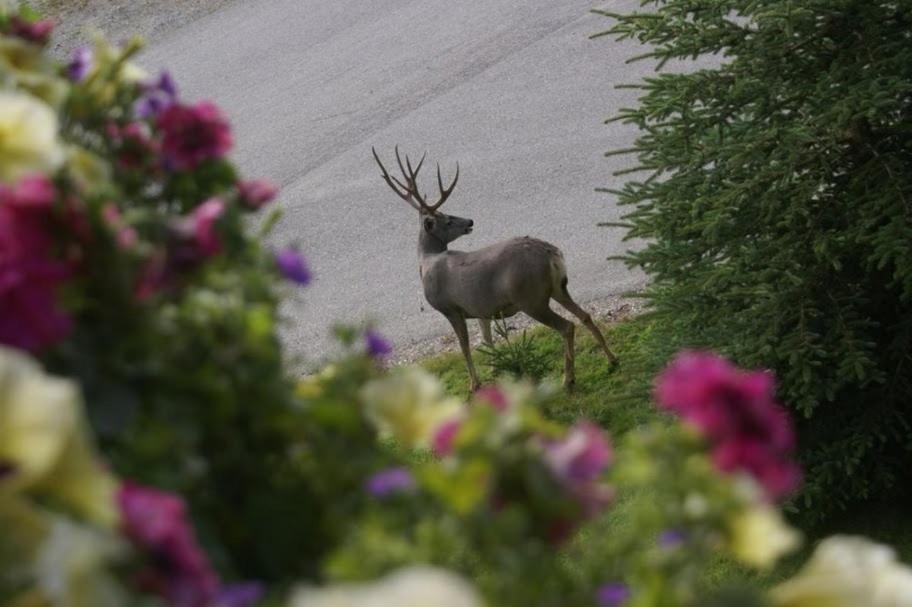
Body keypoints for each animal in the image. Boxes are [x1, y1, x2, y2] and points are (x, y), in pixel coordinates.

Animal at [370, 148, 620, 394]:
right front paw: (495, 368)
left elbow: (465, 346)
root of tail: (551, 252)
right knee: (584, 315)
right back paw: (612, 359)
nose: (469, 221)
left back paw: (568, 379)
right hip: (559, 287)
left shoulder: (451, 308)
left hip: (530, 297)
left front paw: (474, 384)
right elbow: (487, 340)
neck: (427, 261)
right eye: (448, 219)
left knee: (567, 326)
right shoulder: (481, 309)